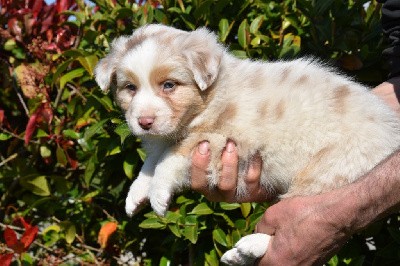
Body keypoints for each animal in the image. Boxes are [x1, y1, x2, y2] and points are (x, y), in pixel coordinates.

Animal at [94, 24, 400, 264]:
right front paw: (136, 194)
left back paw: (251, 246)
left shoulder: (222, 139)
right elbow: (151, 162)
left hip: (328, 170)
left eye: (169, 85)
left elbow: (169, 158)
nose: (144, 122)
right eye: (130, 88)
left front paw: (158, 195)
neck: (209, 99)